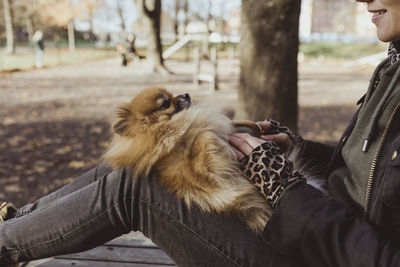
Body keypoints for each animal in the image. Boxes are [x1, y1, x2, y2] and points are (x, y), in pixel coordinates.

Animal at [104, 87, 272, 233]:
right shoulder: (205, 175)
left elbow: (237, 125)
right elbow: (203, 136)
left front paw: (256, 129)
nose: (186, 94)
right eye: (165, 103)